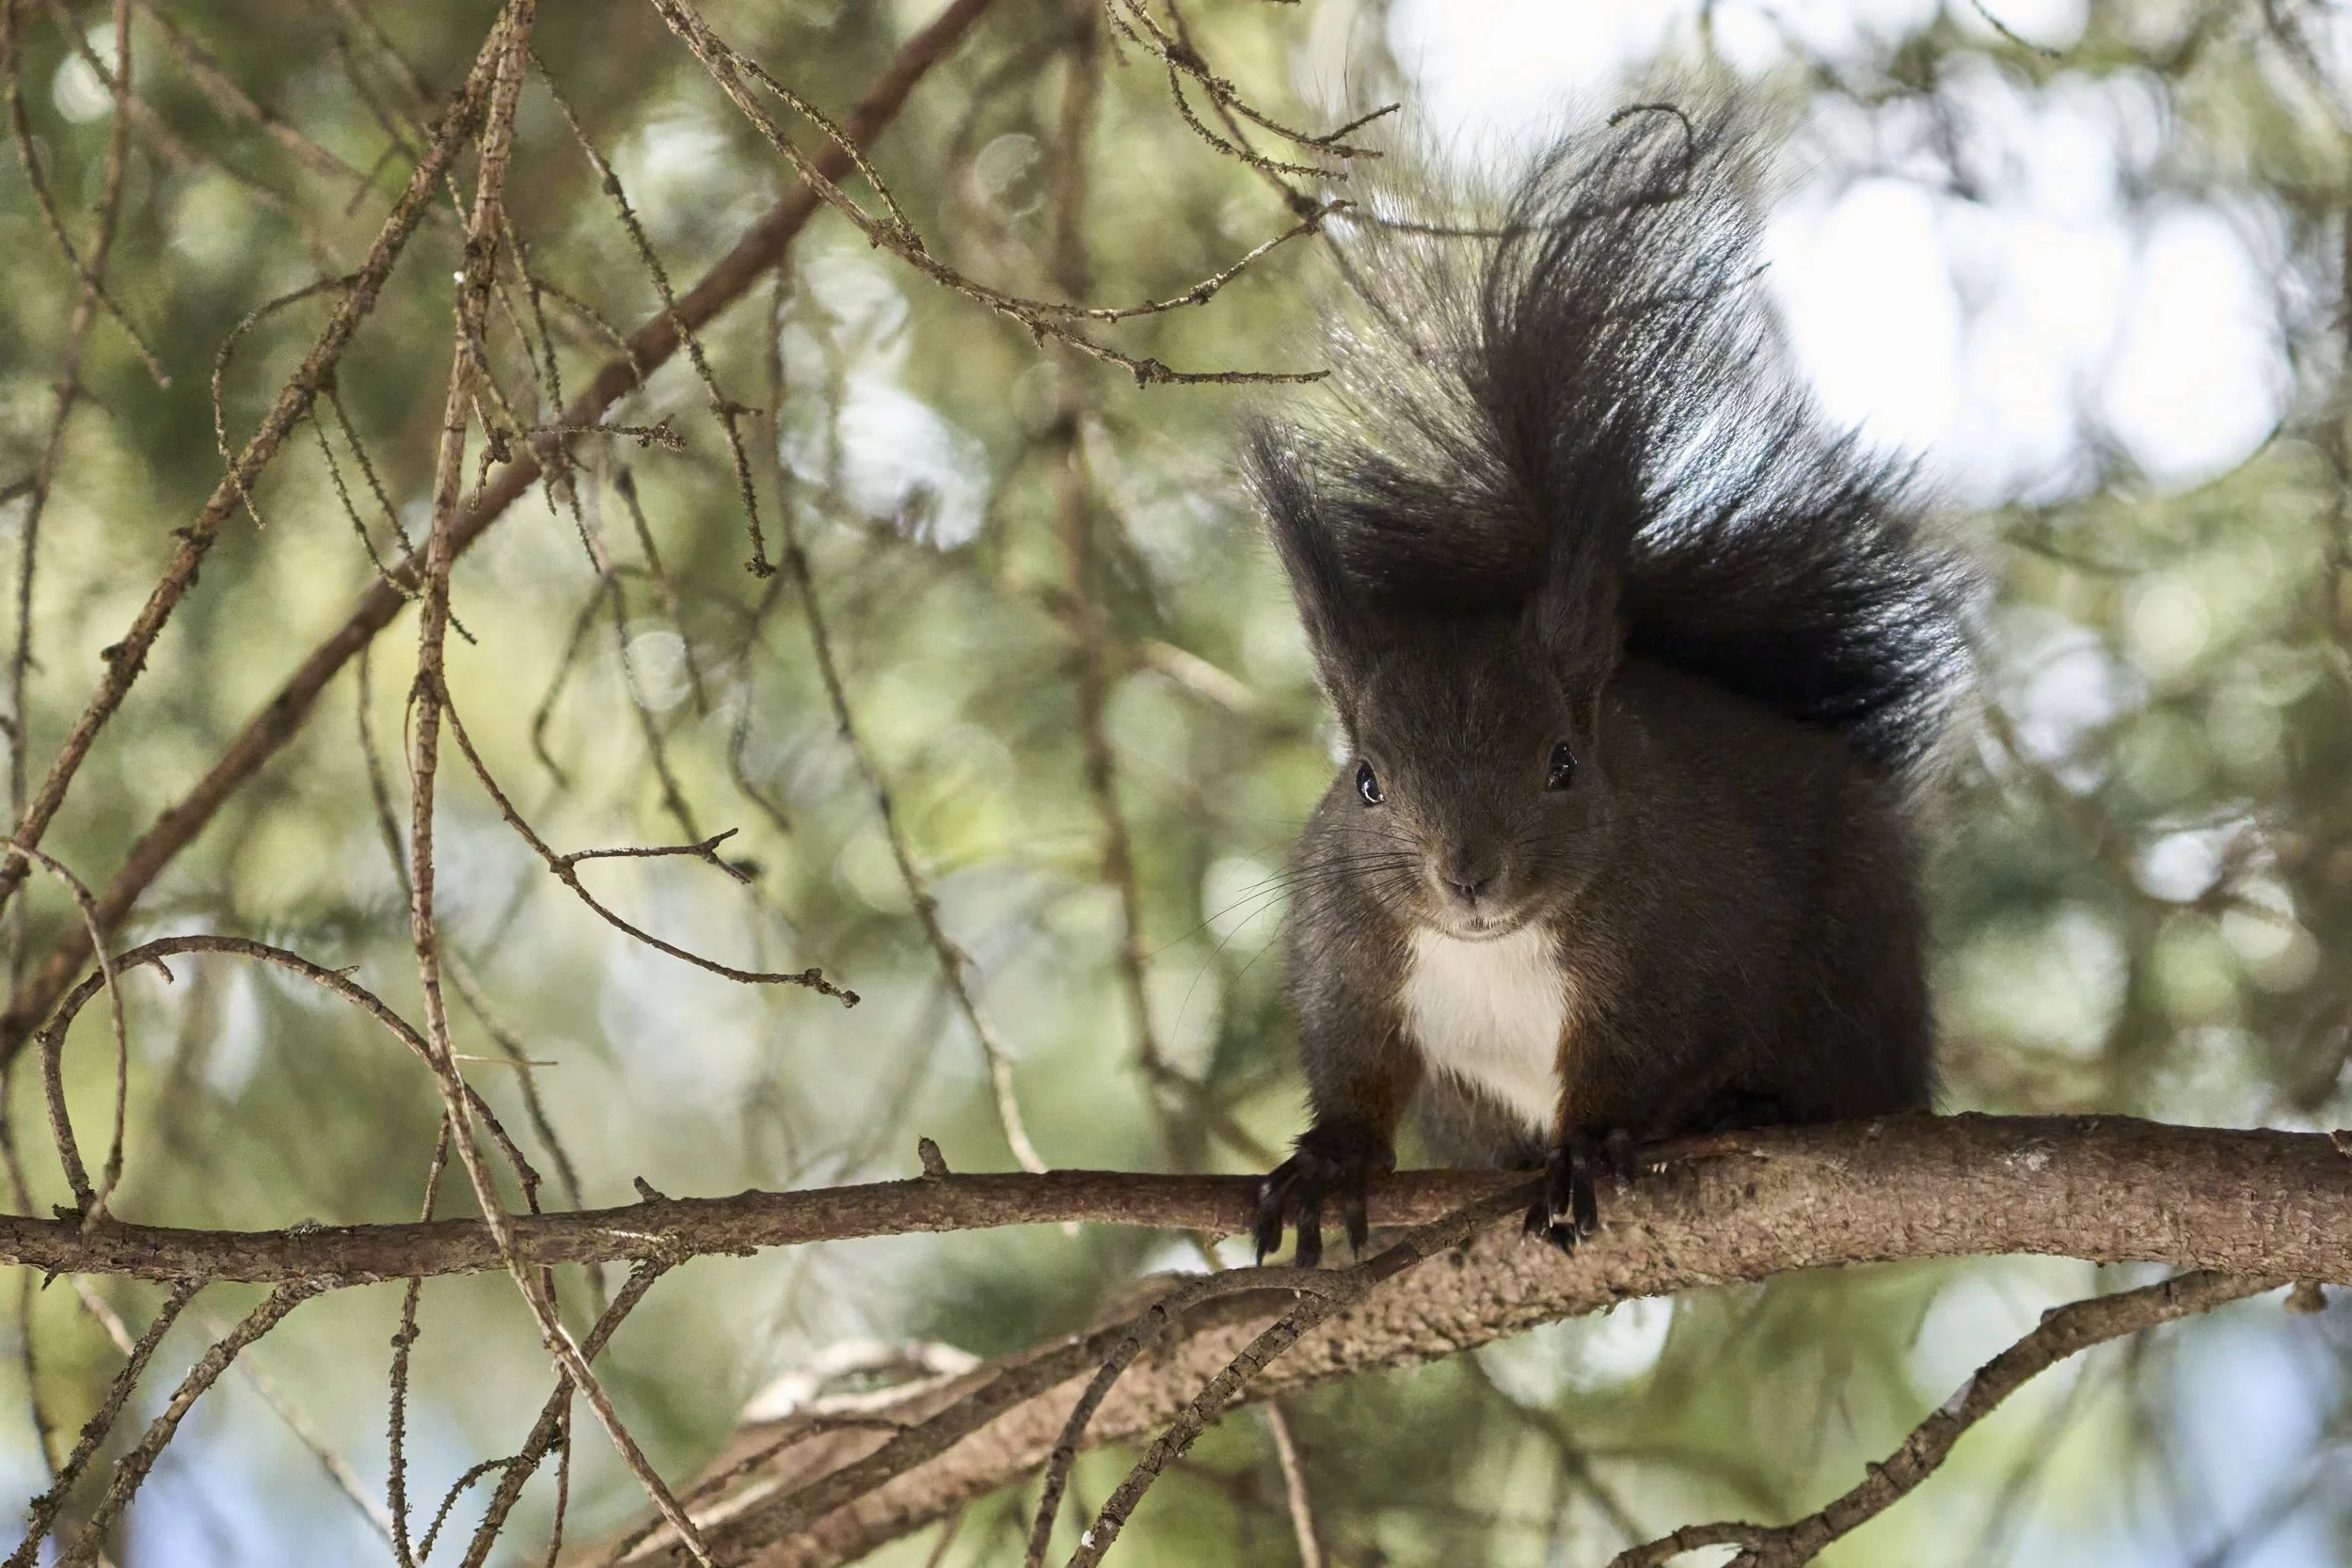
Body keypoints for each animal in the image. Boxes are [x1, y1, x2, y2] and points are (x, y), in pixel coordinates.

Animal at [1244, 103, 1978, 1265]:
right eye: (1365, 780)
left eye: (1562, 764)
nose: (1468, 876)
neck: (1493, 947)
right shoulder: (1347, 948)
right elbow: (1352, 1059)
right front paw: (1332, 1159)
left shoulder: (1669, 941)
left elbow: (1636, 1057)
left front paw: (1588, 1148)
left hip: (1849, 973)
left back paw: (1752, 1105)